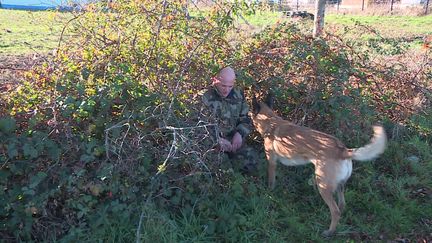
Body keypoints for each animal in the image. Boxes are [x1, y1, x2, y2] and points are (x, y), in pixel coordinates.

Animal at [251, 96, 386, 235]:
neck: (271, 121)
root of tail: (342, 150)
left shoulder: (271, 162)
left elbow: (271, 181)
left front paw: (269, 192)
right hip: (339, 186)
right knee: (341, 205)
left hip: (323, 186)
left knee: (335, 211)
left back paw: (329, 232)